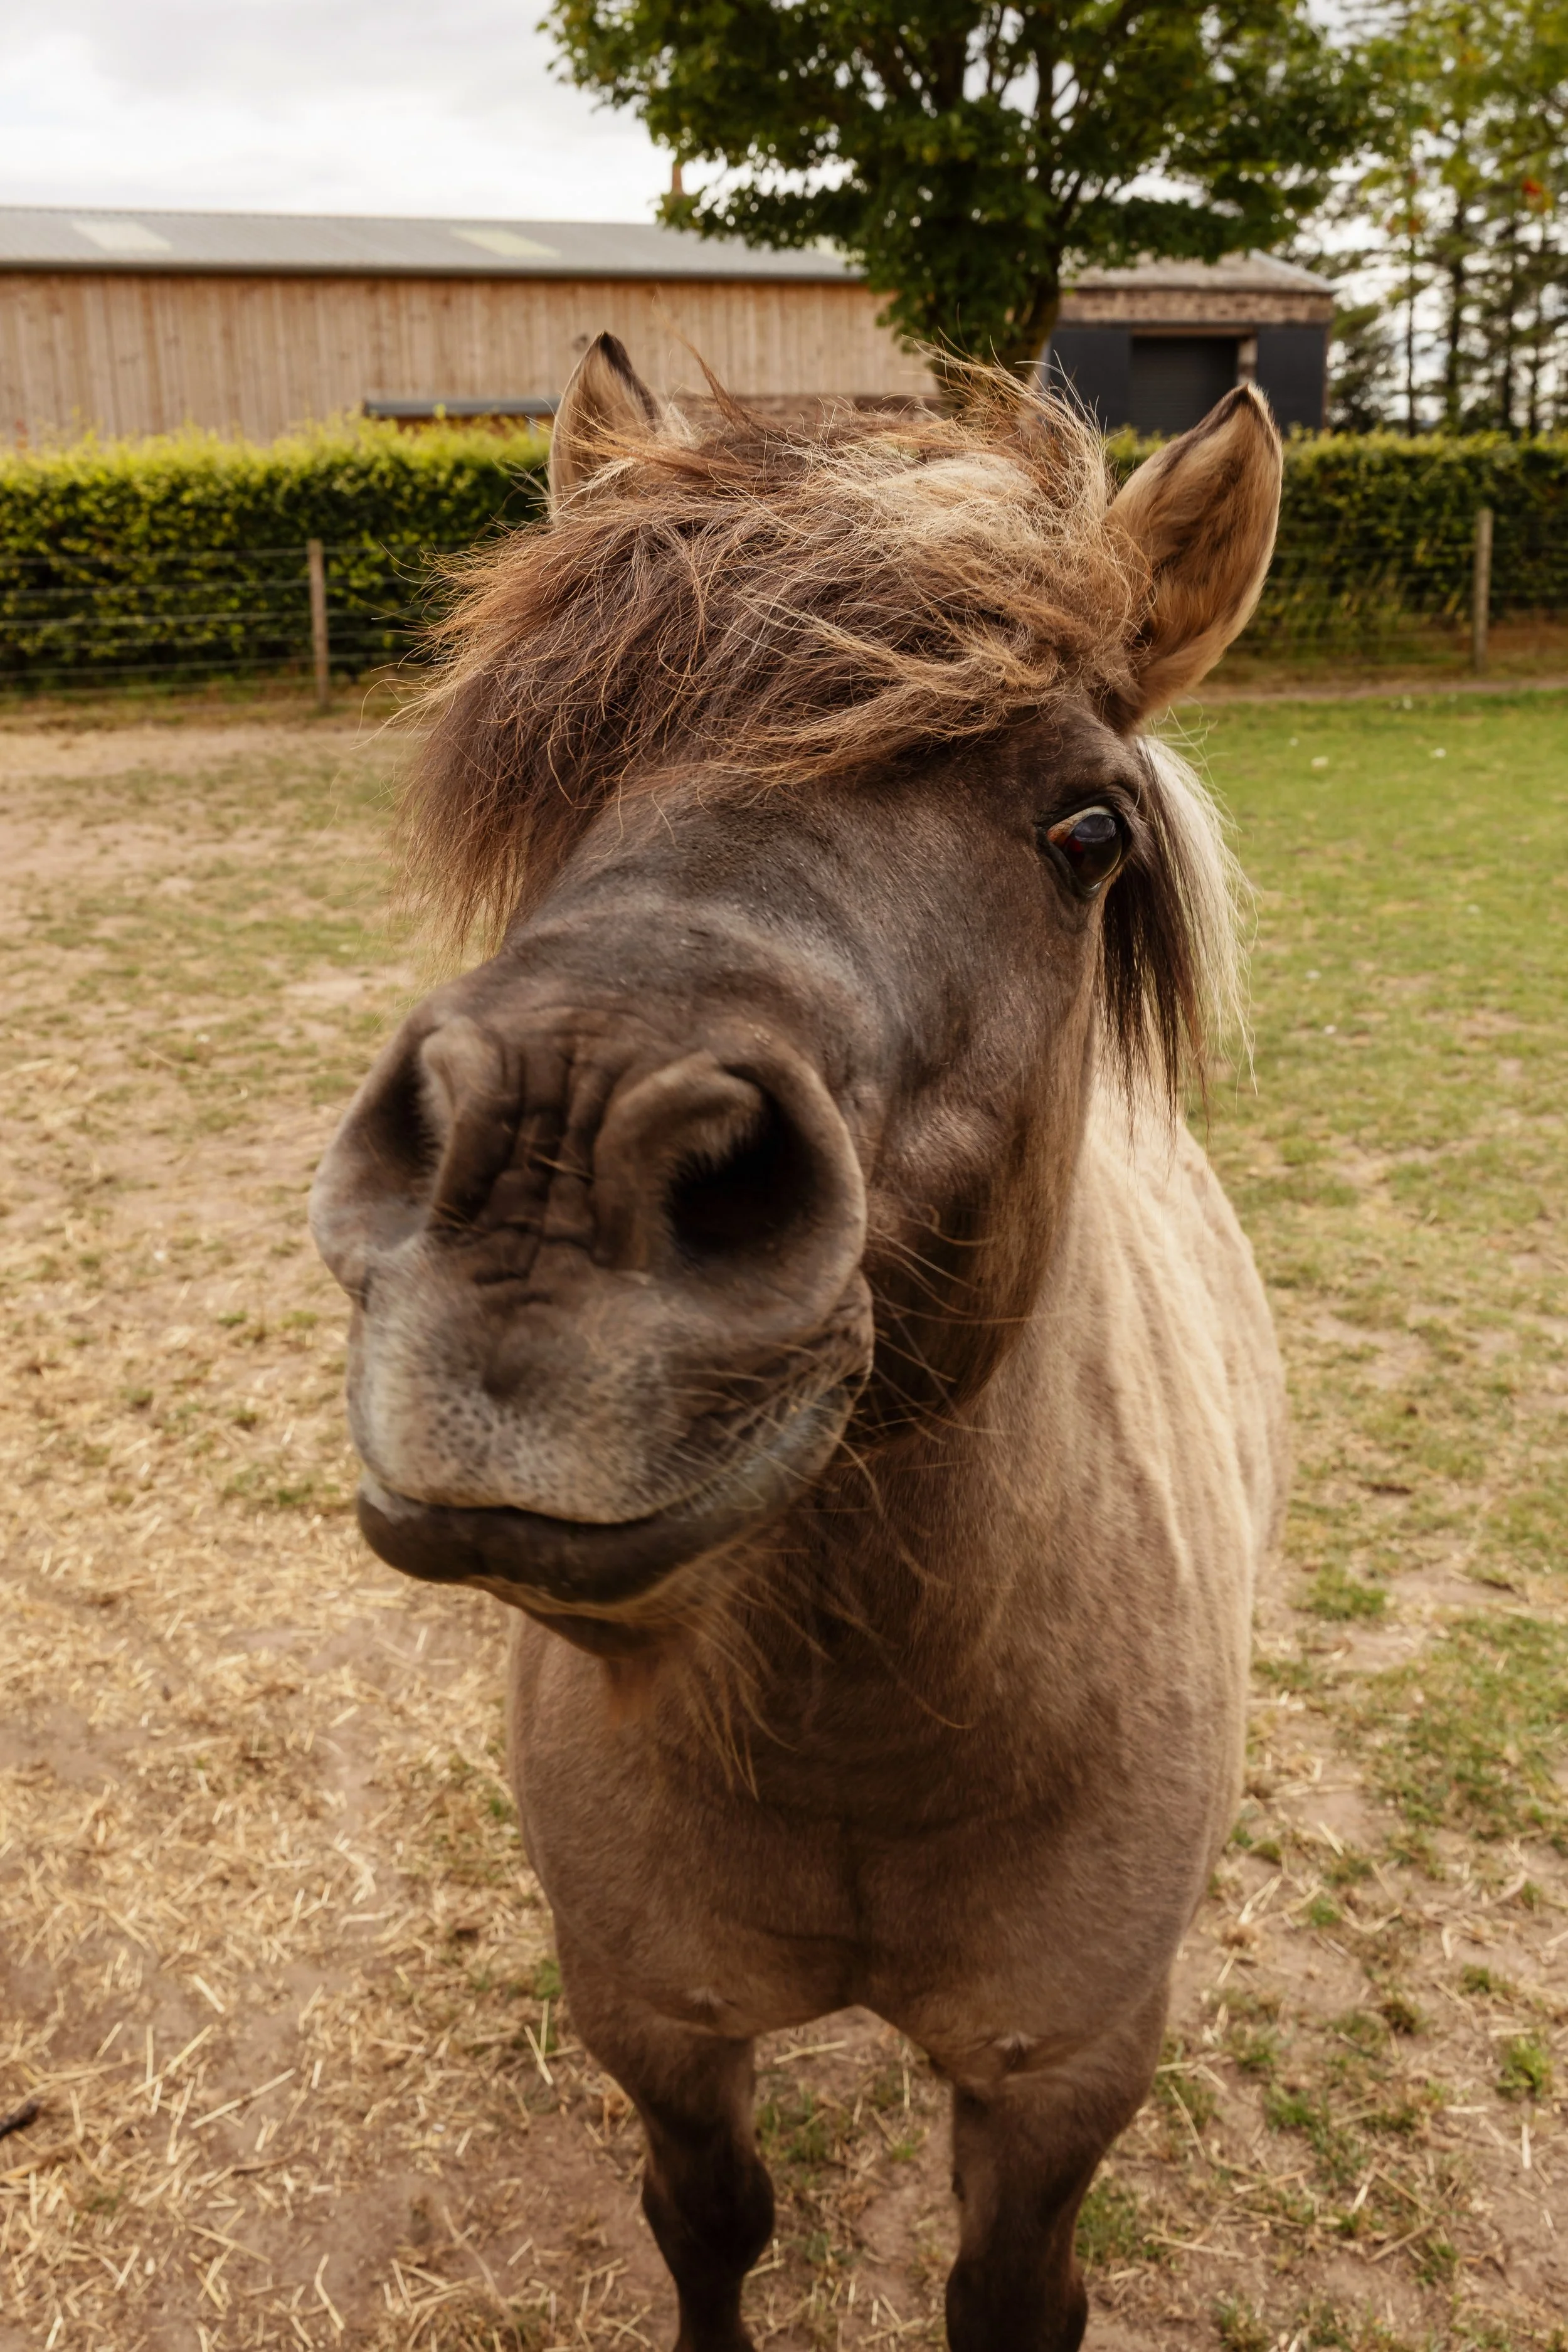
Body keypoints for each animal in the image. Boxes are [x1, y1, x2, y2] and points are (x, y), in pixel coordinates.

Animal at [310, 336, 1288, 2352]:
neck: (869, 1735)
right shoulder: (654, 2015)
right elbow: (709, 2221)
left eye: (1087, 829)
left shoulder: (1056, 2077)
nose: (542, 1185)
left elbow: (1008, 2297)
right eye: (543, 774)